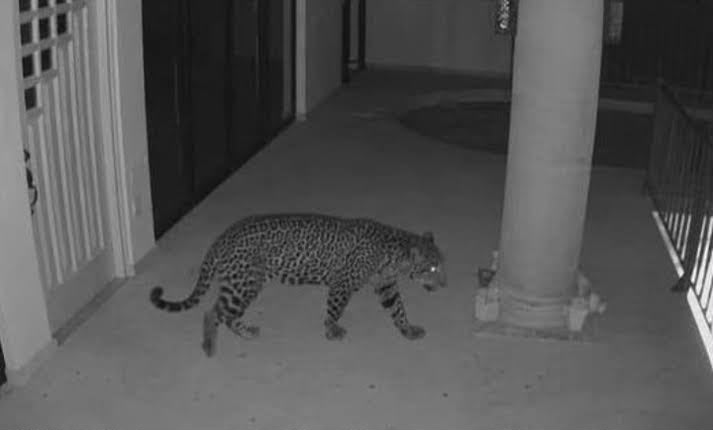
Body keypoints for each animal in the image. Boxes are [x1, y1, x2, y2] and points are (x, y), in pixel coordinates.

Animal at [150, 213, 447, 357]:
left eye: (441, 265)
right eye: (432, 268)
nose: (445, 284)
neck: (393, 256)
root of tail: (222, 238)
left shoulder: (386, 287)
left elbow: (398, 310)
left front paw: (408, 330)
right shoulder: (342, 284)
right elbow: (334, 310)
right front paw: (331, 331)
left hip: (244, 285)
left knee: (227, 314)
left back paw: (246, 332)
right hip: (244, 285)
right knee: (213, 312)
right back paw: (210, 346)